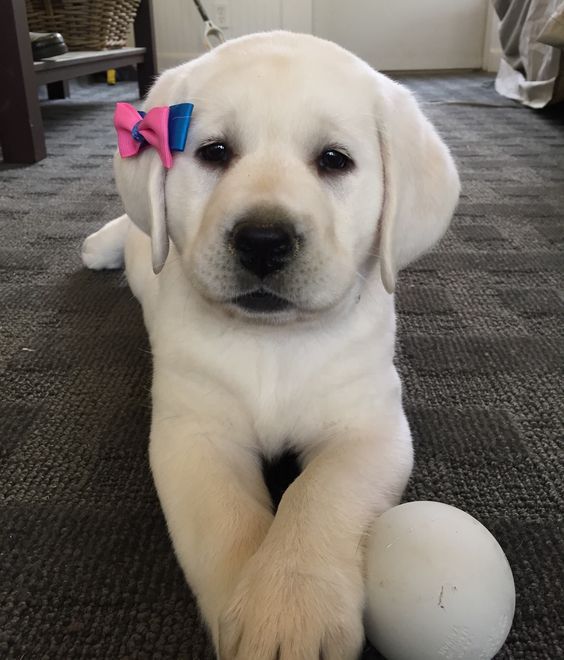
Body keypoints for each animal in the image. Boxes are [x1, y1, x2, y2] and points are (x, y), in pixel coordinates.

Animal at [82, 31, 458, 660]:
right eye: (213, 152)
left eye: (334, 160)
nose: (262, 240)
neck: (274, 342)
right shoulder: (194, 433)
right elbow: (226, 519)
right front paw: (250, 604)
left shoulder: (371, 429)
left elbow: (320, 494)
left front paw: (289, 606)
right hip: (140, 237)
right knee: (132, 227)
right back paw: (98, 245)